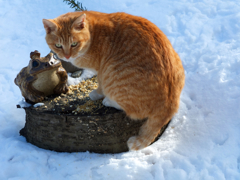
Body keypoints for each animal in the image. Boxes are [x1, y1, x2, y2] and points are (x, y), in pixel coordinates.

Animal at [42, 10, 185, 150]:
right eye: (58, 45)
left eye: (74, 44)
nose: (67, 56)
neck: (92, 34)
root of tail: (169, 106)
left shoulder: (101, 70)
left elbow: (100, 86)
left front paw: (96, 94)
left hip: (113, 75)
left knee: (132, 111)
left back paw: (108, 101)